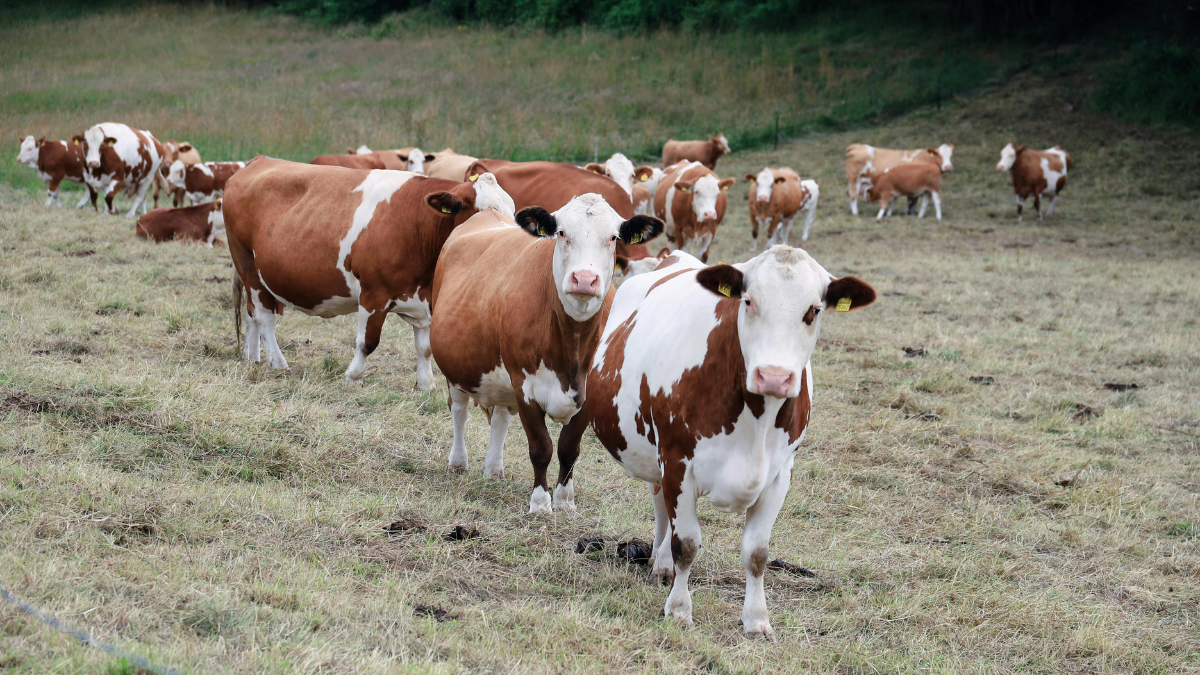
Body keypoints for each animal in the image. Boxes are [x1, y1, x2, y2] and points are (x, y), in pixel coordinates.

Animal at [223, 156, 513, 389]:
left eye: (512, 212)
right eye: (482, 212)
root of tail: (259, 160)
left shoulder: (425, 298)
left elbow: (425, 347)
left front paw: (426, 383)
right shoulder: (374, 293)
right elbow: (367, 342)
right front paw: (353, 376)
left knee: (252, 313)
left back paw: (252, 357)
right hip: (248, 264)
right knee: (264, 316)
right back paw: (278, 362)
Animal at [429, 193, 662, 509]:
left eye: (613, 237)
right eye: (561, 232)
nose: (584, 279)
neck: (573, 345)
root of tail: (487, 213)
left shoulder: (588, 394)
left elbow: (568, 448)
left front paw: (565, 501)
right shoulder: (525, 387)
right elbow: (541, 447)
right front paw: (540, 503)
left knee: (500, 418)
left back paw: (494, 469)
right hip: (457, 367)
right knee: (459, 410)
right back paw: (458, 462)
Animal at [588, 243, 878, 634]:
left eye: (814, 310)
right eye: (749, 301)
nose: (774, 377)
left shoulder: (780, 474)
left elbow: (757, 552)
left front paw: (756, 619)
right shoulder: (677, 460)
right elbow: (687, 544)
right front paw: (679, 610)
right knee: (662, 507)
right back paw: (662, 564)